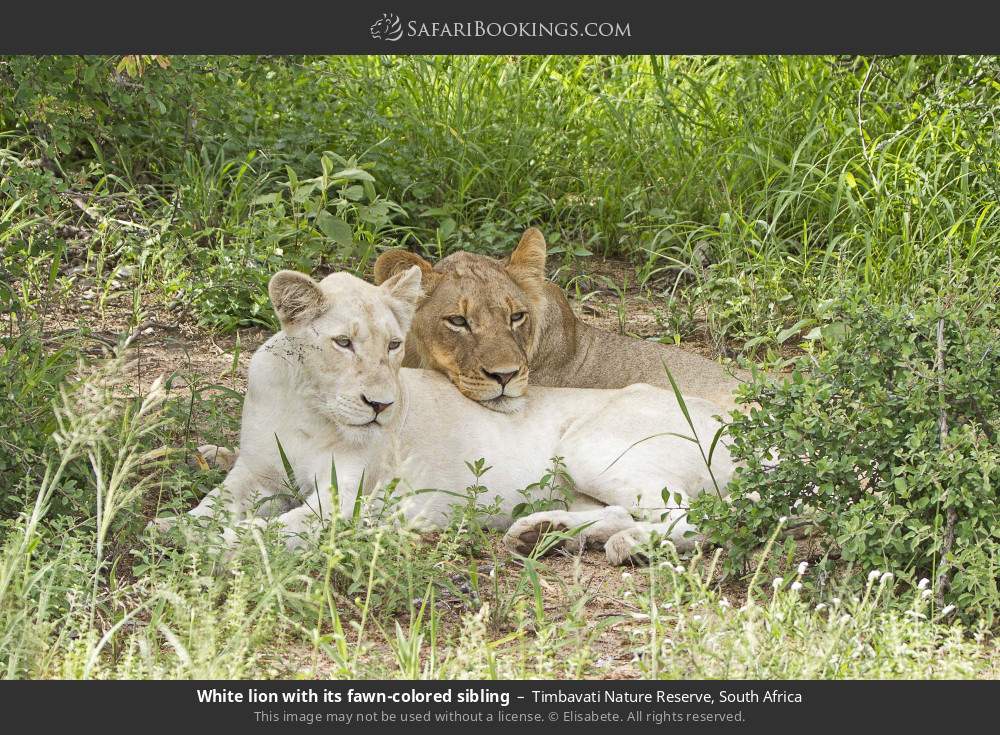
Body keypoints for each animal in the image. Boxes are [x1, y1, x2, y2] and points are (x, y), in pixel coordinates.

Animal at [154, 267, 735, 564]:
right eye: (343, 343)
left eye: (393, 346)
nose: (381, 405)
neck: (310, 406)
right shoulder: (252, 474)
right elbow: (210, 508)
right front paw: (170, 526)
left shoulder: (342, 502)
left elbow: (268, 531)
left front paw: (211, 547)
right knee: (633, 511)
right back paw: (543, 533)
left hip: (592, 448)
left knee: (692, 517)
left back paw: (622, 545)